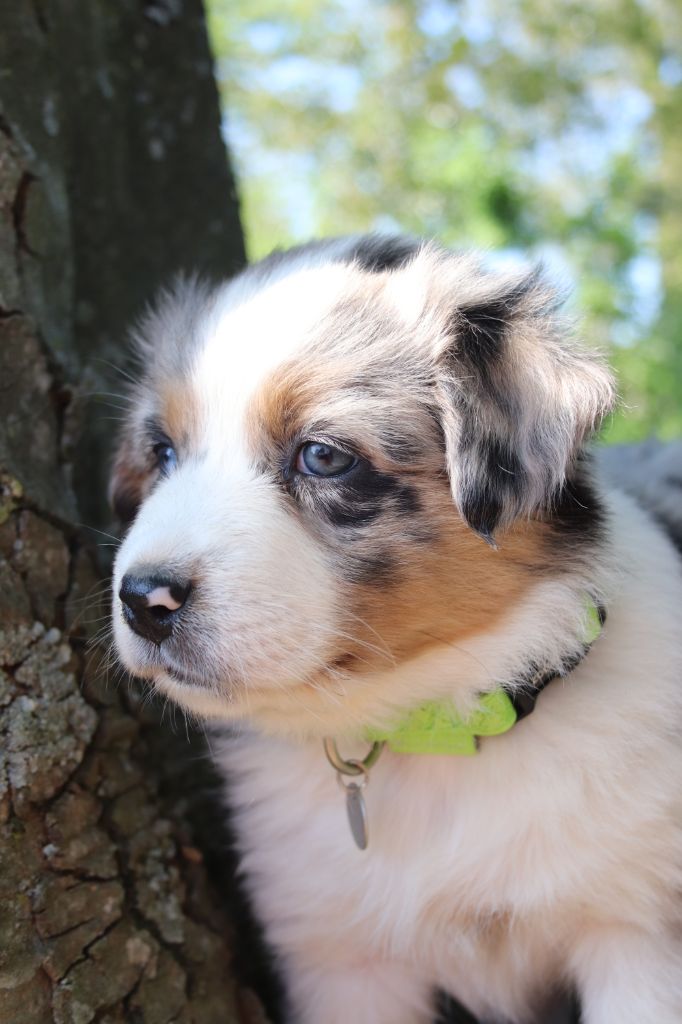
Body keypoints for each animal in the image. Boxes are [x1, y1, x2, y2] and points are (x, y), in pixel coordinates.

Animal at [111, 235, 682, 1023]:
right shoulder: (343, 963)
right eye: (163, 452)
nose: (143, 599)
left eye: (323, 456)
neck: (433, 733)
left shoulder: (638, 931)